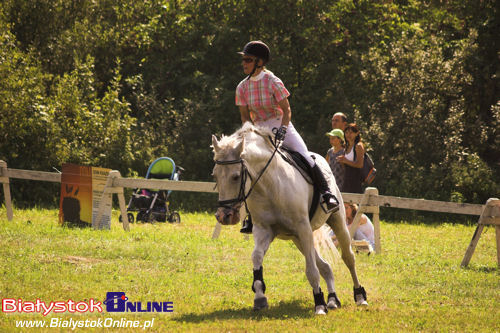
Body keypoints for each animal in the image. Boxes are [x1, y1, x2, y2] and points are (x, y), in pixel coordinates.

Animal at [211, 122, 368, 314]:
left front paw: (319, 305)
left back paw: (359, 296)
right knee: (325, 266)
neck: (268, 185)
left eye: (235, 176)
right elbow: (256, 257)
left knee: (348, 258)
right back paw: (332, 299)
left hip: (336, 222)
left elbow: (311, 271)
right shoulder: (264, 230)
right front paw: (260, 298)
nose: (223, 216)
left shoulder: (303, 228)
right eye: (214, 176)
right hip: (297, 239)